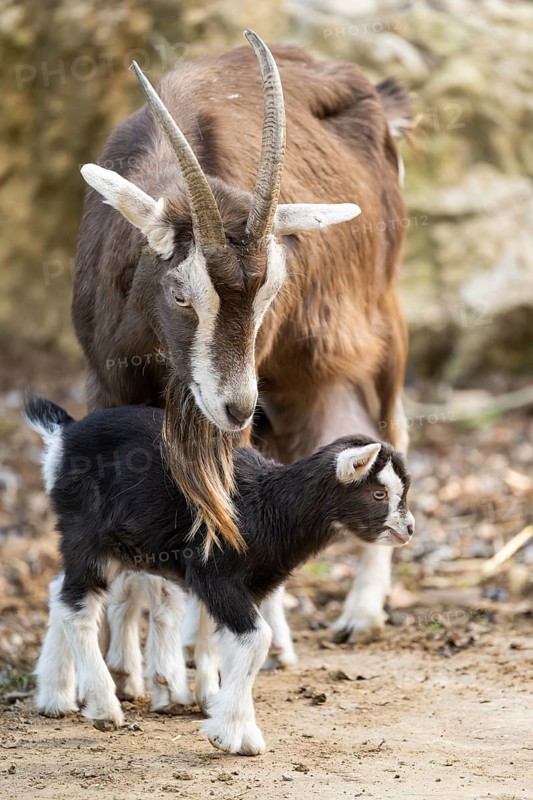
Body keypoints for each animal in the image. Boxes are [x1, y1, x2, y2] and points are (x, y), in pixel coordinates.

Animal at [27, 397, 413, 755]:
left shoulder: (249, 586)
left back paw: (55, 695)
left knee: (59, 591)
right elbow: (256, 639)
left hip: (114, 544)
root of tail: (64, 436)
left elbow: (223, 640)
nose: (409, 529)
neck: (269, 506)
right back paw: (104, 707)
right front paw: (234, 735)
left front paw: (218, 707)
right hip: (89, 534)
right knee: (77, 609)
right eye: (379, 493)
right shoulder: (214, 574)